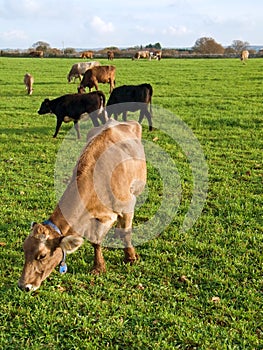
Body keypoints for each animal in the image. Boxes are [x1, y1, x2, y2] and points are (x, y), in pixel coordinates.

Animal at [18, 119, 146, 292]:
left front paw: (130, 257)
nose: (23, 285)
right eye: (24, 249)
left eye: (42, 255)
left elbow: (125, 232)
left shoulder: (127, 205)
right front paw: (99, 267)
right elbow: (95, 240)